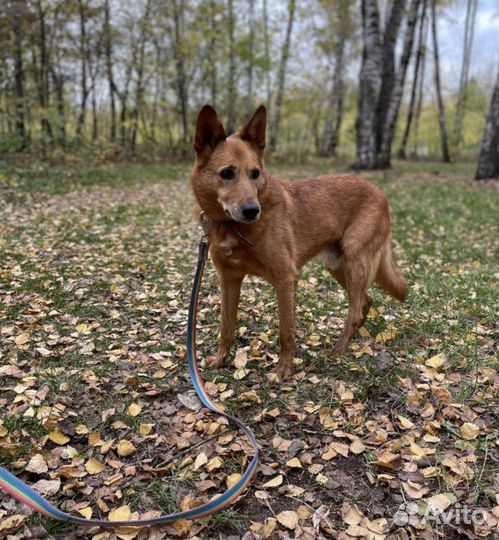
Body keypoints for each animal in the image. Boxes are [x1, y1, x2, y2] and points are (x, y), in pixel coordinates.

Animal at [189, 103, 408, 378]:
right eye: (227, 173)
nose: (252, 211)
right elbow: (226, 326)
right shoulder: (229, 280)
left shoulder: (285, 279)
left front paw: (284, 370)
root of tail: (380, 192)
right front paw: (221, 359)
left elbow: (286, 331)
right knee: (365, 302)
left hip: (355, 261)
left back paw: (338, 350)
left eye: (255, 174)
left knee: (355, 312)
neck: (232, 227)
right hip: (337, 265)